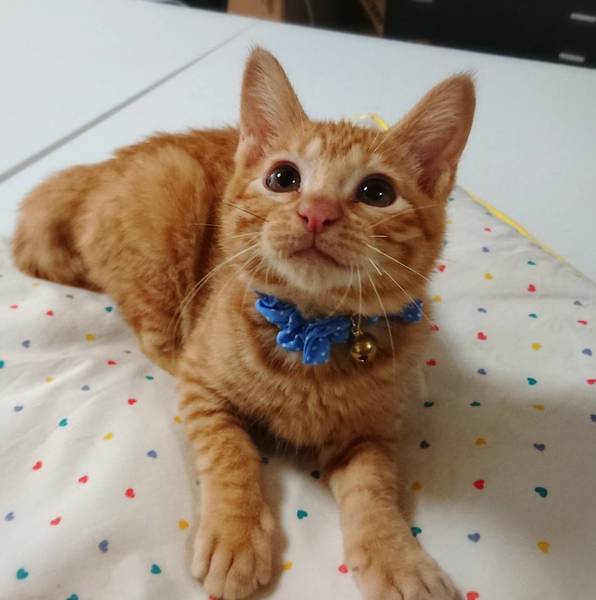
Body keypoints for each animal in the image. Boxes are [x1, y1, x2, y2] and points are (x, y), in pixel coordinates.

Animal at [13, 48, 475, 599]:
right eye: (283, 178)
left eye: (377, 192)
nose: (316, 212)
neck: (311, 331)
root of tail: (99, 168)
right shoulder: (203, 389)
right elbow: (231, 452)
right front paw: (235, 535)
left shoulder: (374, 431)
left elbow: (375, 489)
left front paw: (397, 557)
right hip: (171, 198)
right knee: (154, 334)